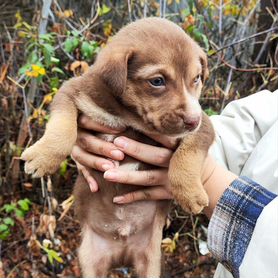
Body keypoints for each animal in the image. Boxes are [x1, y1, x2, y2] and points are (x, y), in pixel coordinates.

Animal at [21, 18, 215, 276]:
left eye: (196, 79)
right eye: (157, 81)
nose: (192, 120)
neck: (129, 116)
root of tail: (122, 251)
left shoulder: (204, 127)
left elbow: (188, 153)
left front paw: (190, 193)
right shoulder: (71, 91)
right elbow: (62, 127)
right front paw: (43, 158)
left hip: (150, 261)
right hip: (90, 259)